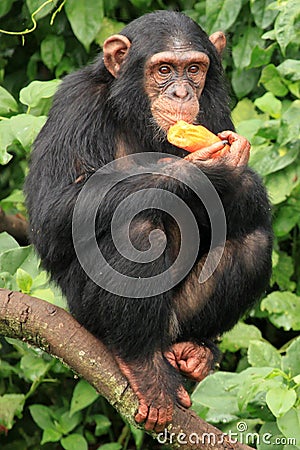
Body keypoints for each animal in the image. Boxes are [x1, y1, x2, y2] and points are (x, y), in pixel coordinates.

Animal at [25, 10, 272, 432]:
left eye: (194, 69)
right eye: (163, 69)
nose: (181, 93)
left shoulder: (215, 113)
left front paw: (234, 172)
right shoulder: (75, 105)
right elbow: (51, 214)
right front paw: (201, 174)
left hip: (177, 319)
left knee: (253, 241)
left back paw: (197, 349)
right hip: (85, 312)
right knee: (137, 231)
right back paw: (144, 366)